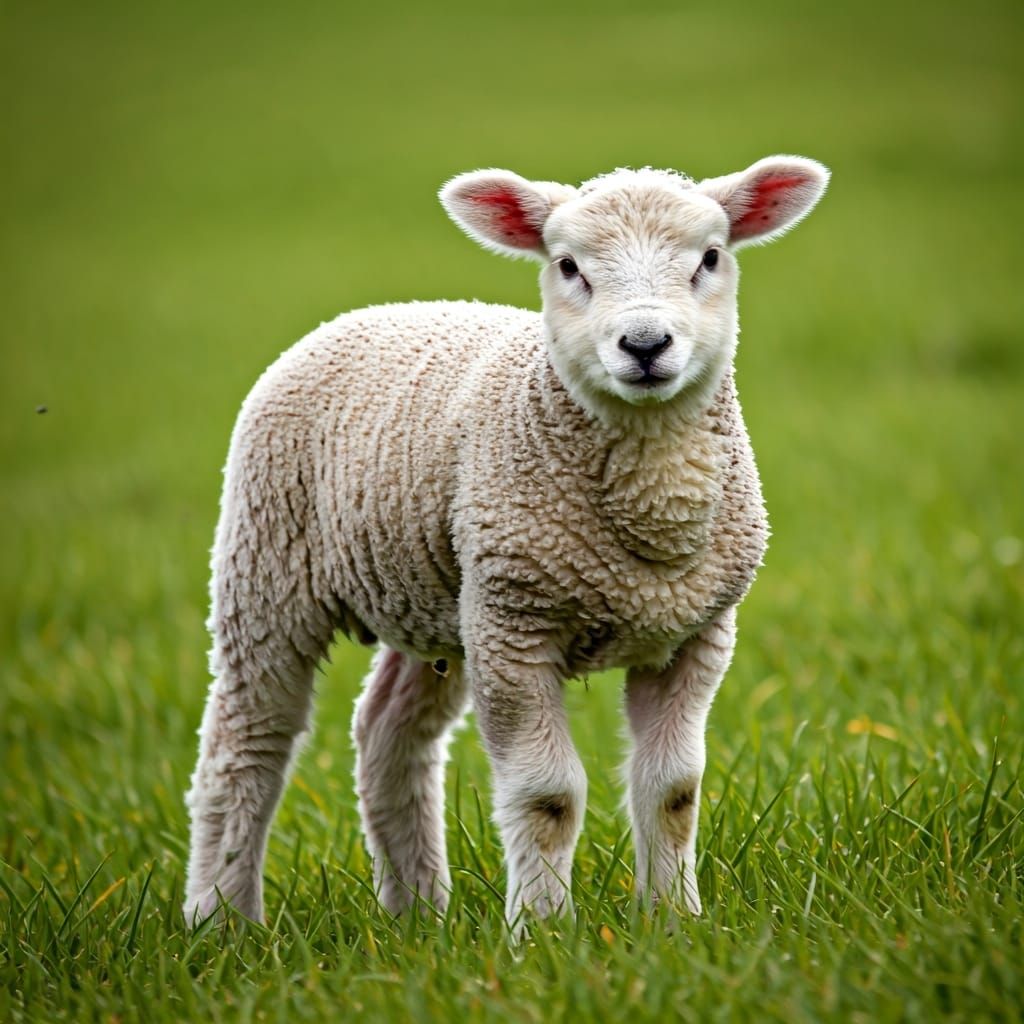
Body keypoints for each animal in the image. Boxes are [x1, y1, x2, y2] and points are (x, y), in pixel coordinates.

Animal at [183, 155, 829, 928]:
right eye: (568, 266)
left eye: (710, 258)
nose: (645, 347)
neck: (652, 513)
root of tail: (374, 312)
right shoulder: (518, 628)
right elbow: (548, 796)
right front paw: (545, 928)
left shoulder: (695, 632)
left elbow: (673, 789)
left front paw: (674, 921)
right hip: (270, 566)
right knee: (246, 743)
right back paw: (221, 920)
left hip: (441, 597)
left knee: (387, 735)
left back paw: (417, 915)